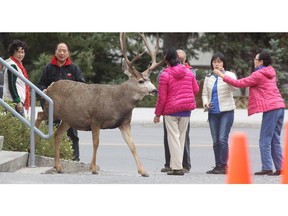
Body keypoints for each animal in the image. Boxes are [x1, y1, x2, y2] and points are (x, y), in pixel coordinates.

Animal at [35, 32, 163, 177]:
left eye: (149, 79)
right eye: (141, 81)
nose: (155, 90)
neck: (117, 102)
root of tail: (50, 86)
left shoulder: (124, 123)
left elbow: (132, 145)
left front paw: (143, 171)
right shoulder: (95, 119)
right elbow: (96, 143)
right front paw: (93, 168)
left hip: (68, 119)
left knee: (57, 135)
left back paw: (58, 167)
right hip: (52, 109)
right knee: (39, 115)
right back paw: (35, 144)